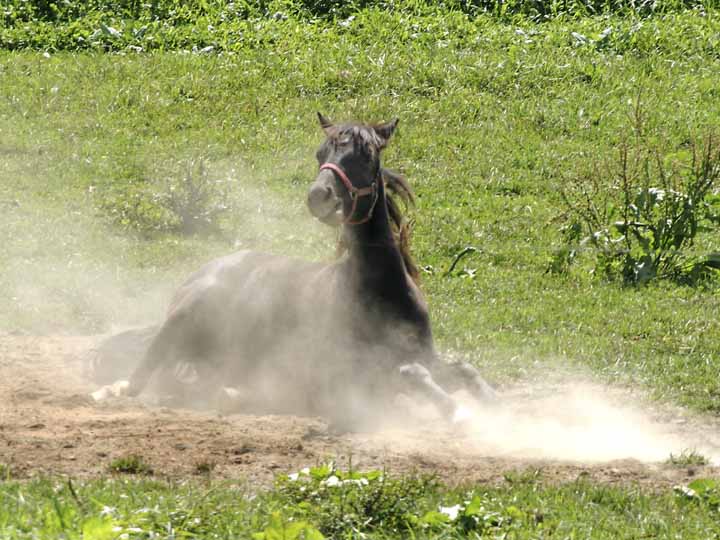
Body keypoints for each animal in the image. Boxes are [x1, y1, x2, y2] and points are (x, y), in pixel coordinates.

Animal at [90, 114, 496, 426]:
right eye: (321, 153)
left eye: (366, 155)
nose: (319, 196)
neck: (380, 291)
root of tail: (203, 271)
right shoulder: (349, 379)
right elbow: (409, 375)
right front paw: (457, 411)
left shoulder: (424, 356)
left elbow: (463, 369)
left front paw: (490, 400)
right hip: (183, 319)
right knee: (138, 378)